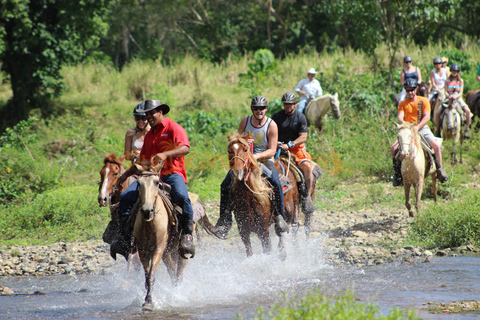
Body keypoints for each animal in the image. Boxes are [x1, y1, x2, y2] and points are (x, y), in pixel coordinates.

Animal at [134, 161, 190, 312]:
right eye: (139, 183)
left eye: (156, 182)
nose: (147, 211)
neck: (149, 224)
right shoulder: (143, 251)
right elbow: (147, 275)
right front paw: (146, 299)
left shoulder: (158, 249)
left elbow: (152, 274)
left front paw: (149, 302)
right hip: (168, 253)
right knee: (172, 272)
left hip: (180, 253)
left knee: (179, 274)